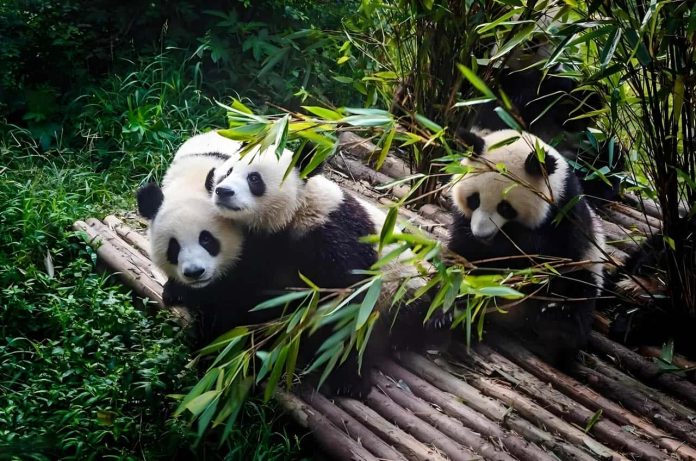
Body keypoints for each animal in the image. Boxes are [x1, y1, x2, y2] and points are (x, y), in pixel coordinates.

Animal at [448, 129, 606, 365]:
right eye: (474, 200)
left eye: (505, 208)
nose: (482, 234)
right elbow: (463, 250)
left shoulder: (566, 216)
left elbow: (544, 254)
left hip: (586, 271)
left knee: (575, 291)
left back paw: (557, 330)